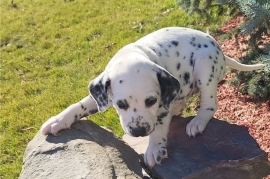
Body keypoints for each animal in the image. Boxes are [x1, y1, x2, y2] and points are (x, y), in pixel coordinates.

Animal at [40, 26, 264, 168]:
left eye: (151, 101)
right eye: (120, 104)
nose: (138, 131)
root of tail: (220, 50)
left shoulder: (162, 105)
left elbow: (159, 127)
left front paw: (155, 148)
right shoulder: (103, 94)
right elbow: (79, 106)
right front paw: (58, 120)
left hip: (205, 66)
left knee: (209, 104)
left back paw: (197, 122)